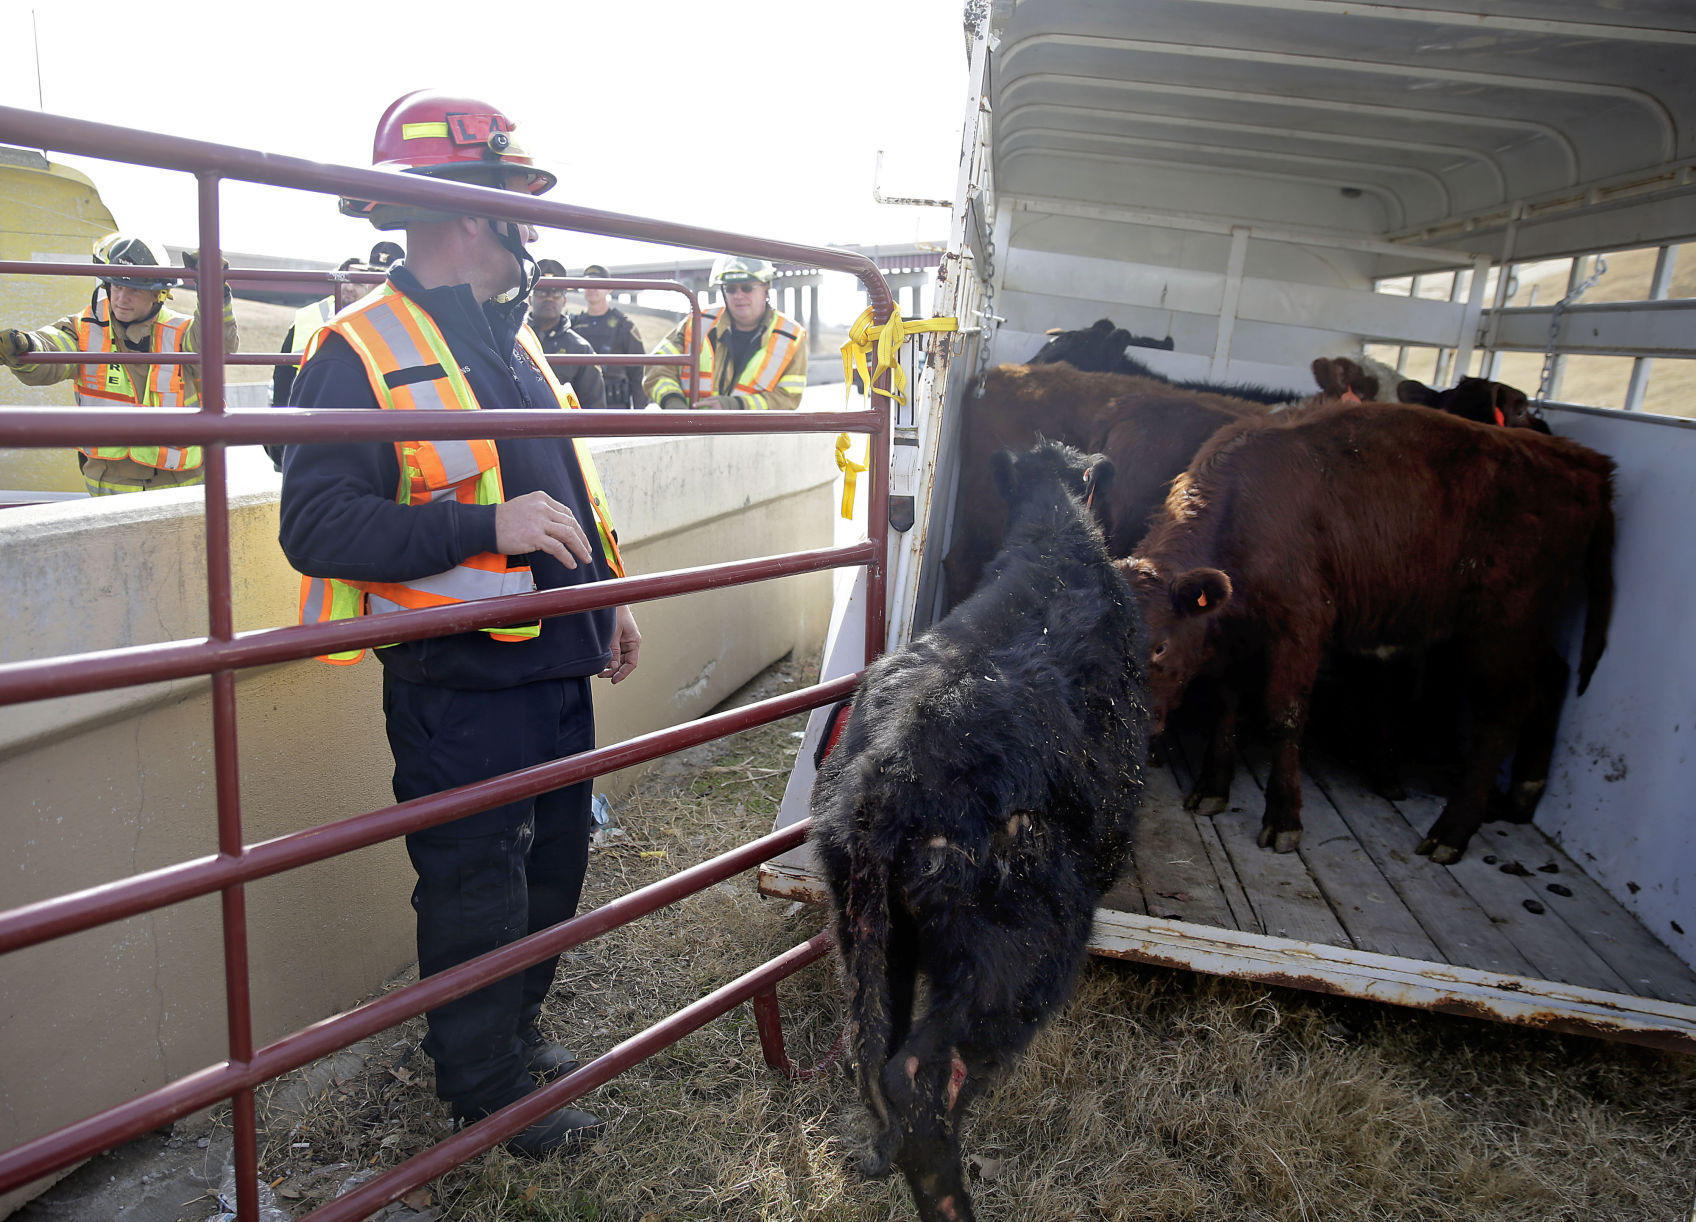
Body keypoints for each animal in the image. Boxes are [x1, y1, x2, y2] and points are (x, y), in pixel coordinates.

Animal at [810, 440, 1153, 1220]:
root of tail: (883, 787)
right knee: (920, 1076)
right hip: (1012, 958)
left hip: (872, 939)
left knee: (873, 1056)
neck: (1053, 534)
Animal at [1119, 405, 1607, 864]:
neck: (1242, 509)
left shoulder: (1301, 621)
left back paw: (1452, 831)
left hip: (1501, 626)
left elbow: (1284, 715)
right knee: (1552, 679)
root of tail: (1581, 460)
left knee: (1499, 717)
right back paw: (1524, 793)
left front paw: (1284, 817)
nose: (1133, 734)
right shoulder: (1235, 634)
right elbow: (1227, 704)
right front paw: (1213, 787)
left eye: (1159, 647)